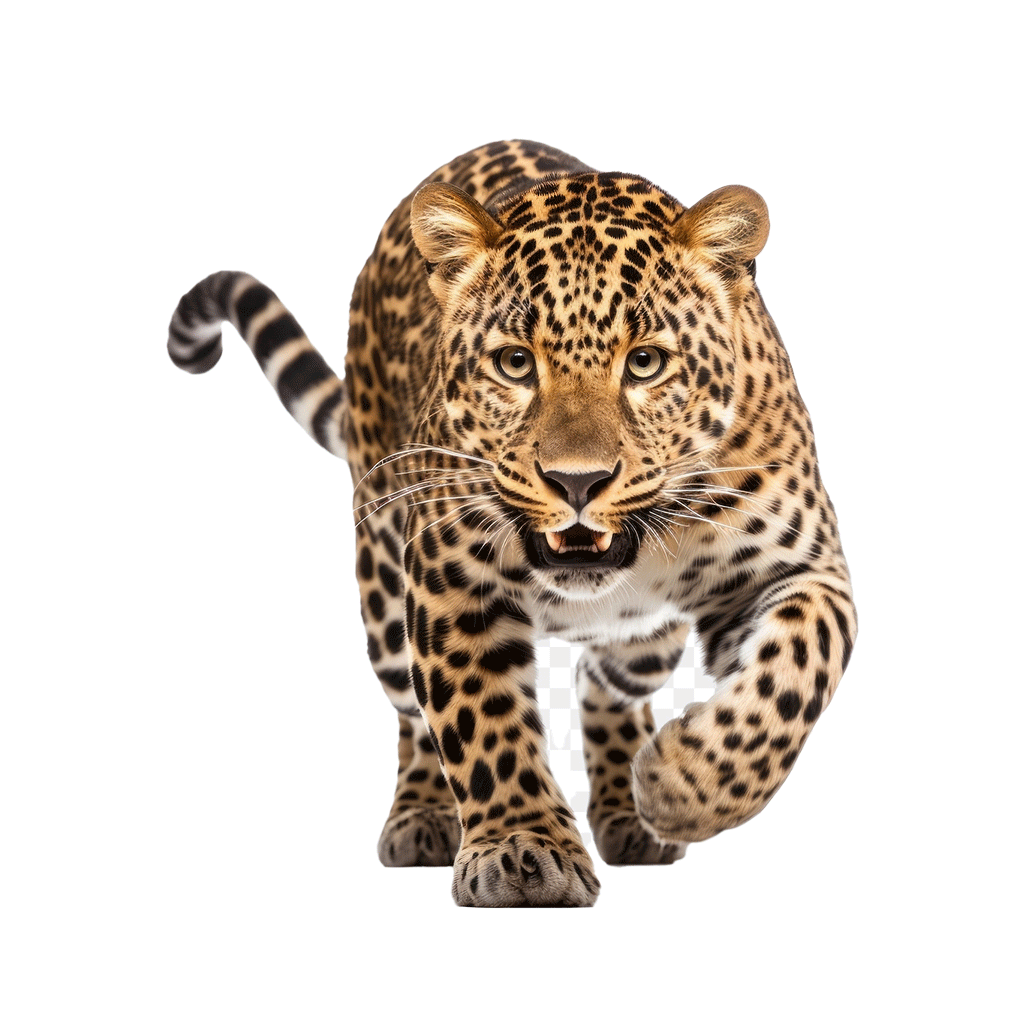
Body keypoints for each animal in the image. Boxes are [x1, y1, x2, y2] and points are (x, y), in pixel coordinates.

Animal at [167, 140, 856, 907]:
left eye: (646, 363)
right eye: (515, 363)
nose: (577, 480)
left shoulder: (804, 565)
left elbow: (799, 669)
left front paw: (682, 786)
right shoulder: (449, 578)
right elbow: (480, 719)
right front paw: (523, 849)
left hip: (645, 642)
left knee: (603, 677)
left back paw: (629, 810)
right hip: (381, 580)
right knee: (412, 713)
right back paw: (422, 817)